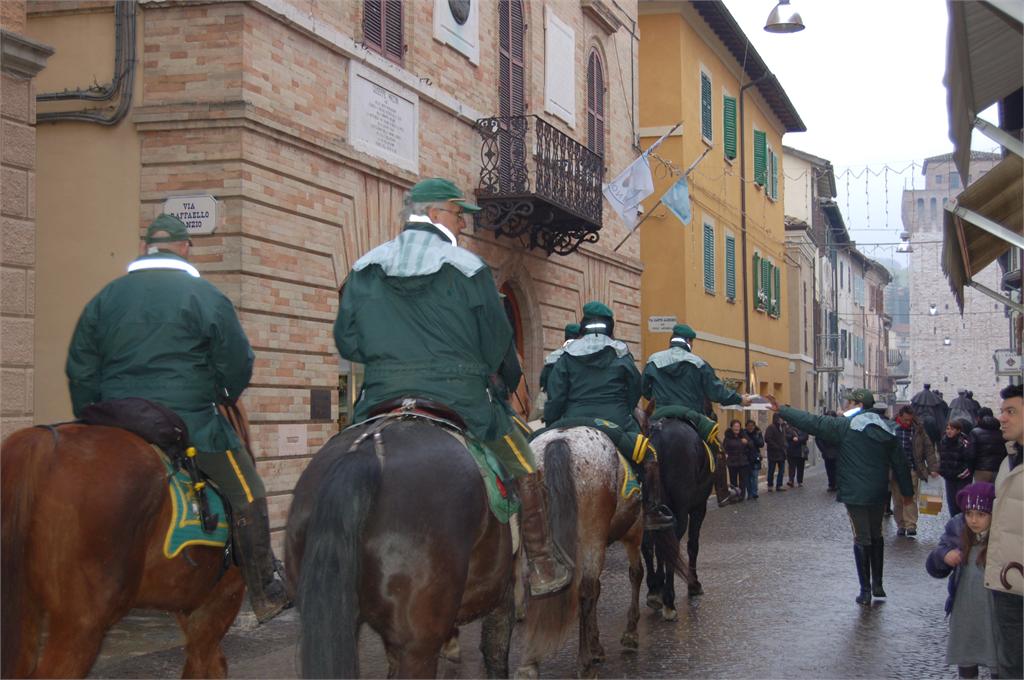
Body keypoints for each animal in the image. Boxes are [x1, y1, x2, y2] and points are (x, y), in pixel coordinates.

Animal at [514, 427, 687, 679]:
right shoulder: (634, 531)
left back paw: (530, 663)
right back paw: (584, 665)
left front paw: (596, 646)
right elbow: (635, 574)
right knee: (584, 591)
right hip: (593, 535)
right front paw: (629, 635)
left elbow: (598, 588)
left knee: (537, 587)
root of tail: (559, 442)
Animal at [641, 417, 714, 621]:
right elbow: (692, 545)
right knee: (672, 547)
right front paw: (693, 584)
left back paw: (655, 592)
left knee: (648, 544)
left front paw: (657, 587)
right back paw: (669, 602)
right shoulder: (698, 508)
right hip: (680, 512)